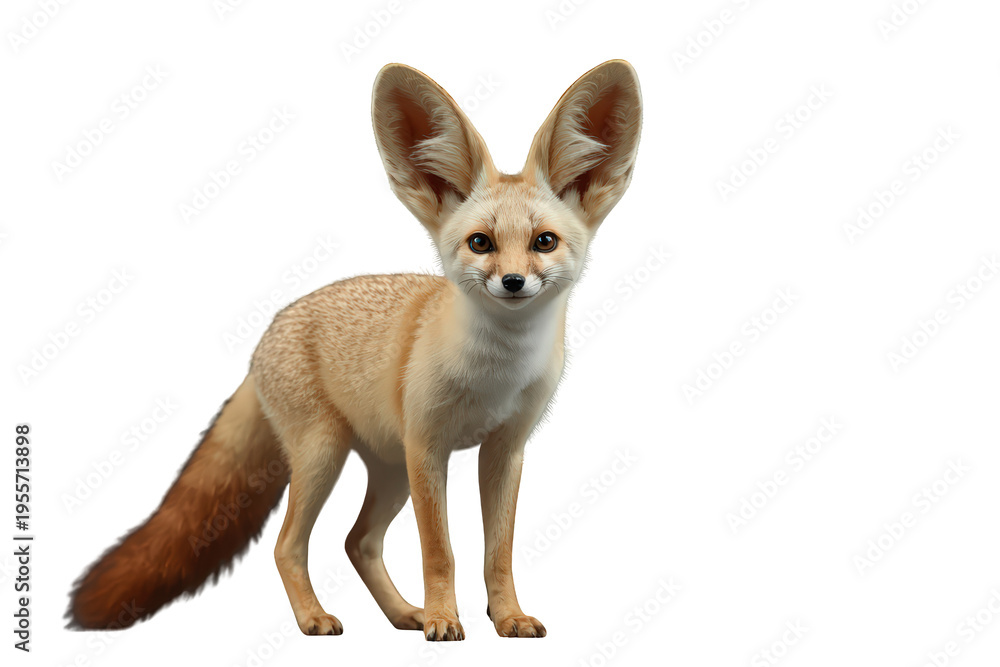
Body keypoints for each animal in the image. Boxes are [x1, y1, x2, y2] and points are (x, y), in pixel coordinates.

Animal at [68, 59, 642, 641]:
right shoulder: (427, 447)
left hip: (388, 471)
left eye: (543, 242)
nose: (513, 282)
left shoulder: (505, 451)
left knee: (358, 541)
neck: (494, 374)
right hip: (325, 454)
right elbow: (440, 552)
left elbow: (497, 555)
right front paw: (444, 620)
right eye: (480, 243)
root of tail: (270, 331)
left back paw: (403, 613)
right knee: (287, 545)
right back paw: (316, 618)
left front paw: (506, 617)